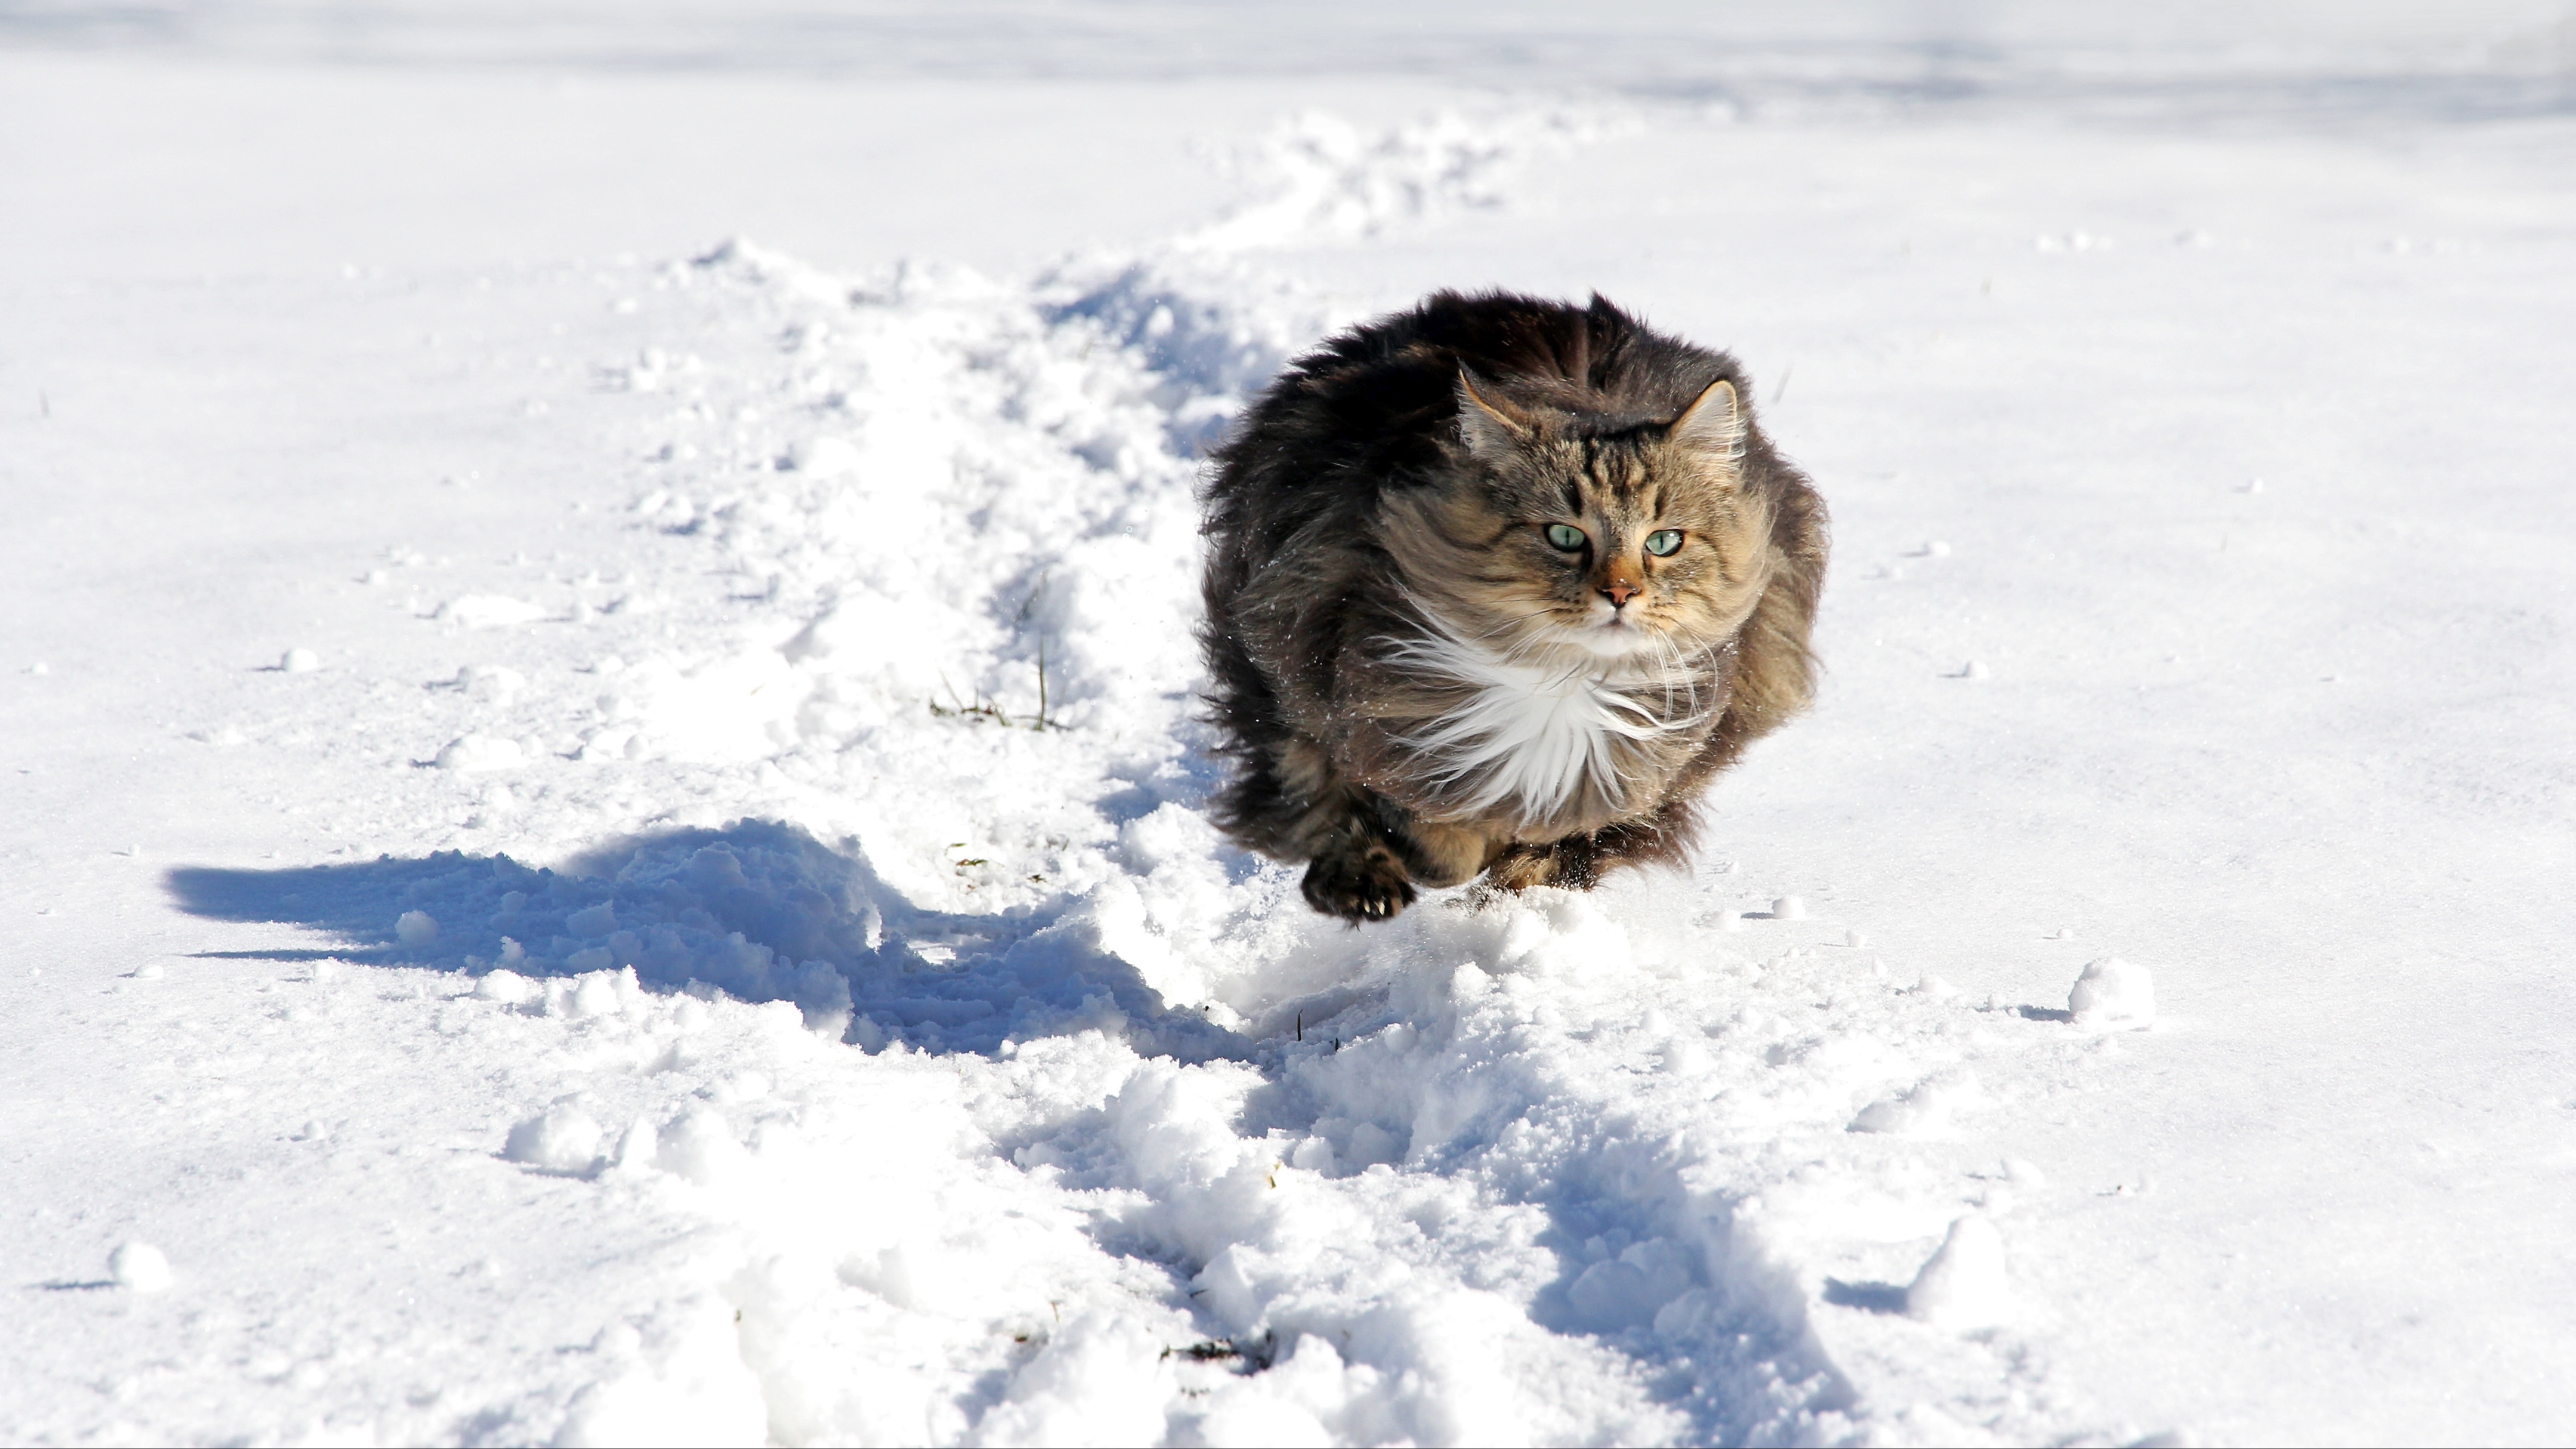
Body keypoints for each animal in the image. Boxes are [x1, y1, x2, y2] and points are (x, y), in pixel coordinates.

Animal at [1200, 290, 1834, 926]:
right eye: (1564, 535)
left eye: (1663, 542)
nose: (1621, 592)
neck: (1562, 682)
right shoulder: (1358, 692)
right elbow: (1407, 816)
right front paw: (1428, 858)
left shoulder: (1650, 772)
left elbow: (1557, 851)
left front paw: (1503, 893)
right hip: (1271, 640)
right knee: (1303, 780)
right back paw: (1363, 883)